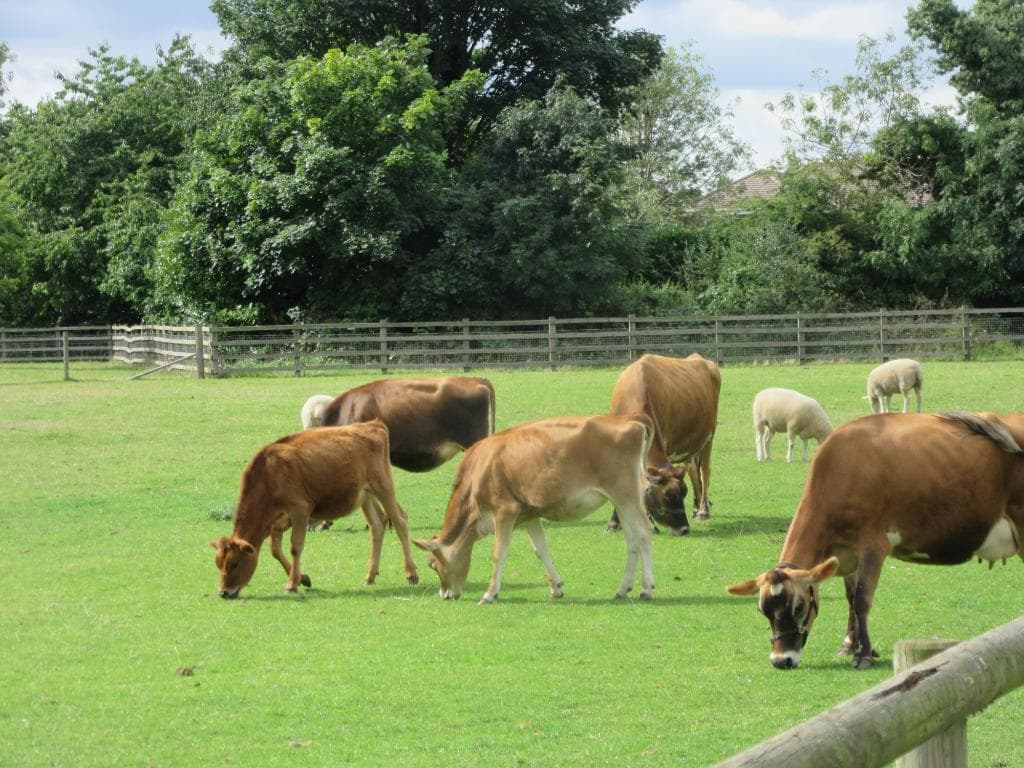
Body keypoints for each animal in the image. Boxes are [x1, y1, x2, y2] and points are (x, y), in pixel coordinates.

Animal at [210, 421, 419, 599]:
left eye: (234, 563)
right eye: (218, 563)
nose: (223, 592)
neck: (269, 475)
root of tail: (374, 425)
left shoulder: (300, 510)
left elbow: (295, 547)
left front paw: (291, 585)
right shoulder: (277, 522)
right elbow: (276, 550)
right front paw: (302, 578)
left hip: (382, 485)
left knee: (400, 520)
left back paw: (411, 574)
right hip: (365, 496)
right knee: (377, 525)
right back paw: (370, 576)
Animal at [414, 414, 657, 604]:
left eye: (432, 564)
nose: (444, 594)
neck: (480, 472)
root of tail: (632, 421)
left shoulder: (505, 511)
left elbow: (499, 552)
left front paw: (490, 594)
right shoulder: (529, 514)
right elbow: (541, 549)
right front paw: (556, 587)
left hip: (625, 494)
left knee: (644, 531)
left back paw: (646, 588)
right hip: (620, 501)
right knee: (632, 540)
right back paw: (623, 589)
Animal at [606, 353, 721, 535]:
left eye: (683, 493)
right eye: (669, 496)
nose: (684, 529)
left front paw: (650, 525)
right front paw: (614, 522)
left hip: (709, 436)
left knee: (704, 471)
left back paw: (703, 510)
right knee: (693, 471)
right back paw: (696, 508)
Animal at [726, 411, 1024, 670]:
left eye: (798, 607)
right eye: (762, 610)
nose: (781, 660)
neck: (839, 469)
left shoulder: (874, 546)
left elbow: (862, 599)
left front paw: (865, 654)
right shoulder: (846, 554)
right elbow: (849, 597)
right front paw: (849, 645)